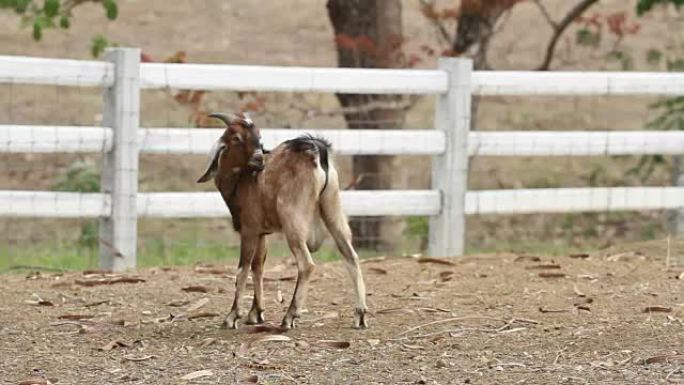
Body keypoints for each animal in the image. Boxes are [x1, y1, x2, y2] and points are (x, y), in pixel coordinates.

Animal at [196, 112, 368, 328]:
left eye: (258, 136)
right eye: (236, 138)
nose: (259, 159)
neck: (241, 181)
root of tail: (316, 151)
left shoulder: (249, 230)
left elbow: (242, 270)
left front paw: (232, 317)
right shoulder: (262, 233)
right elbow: (258, 266)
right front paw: (256, 313)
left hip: (293, 220)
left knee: (306, 264)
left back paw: (289, 317)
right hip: (333, 208)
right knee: (350, 255)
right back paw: (360, 315)